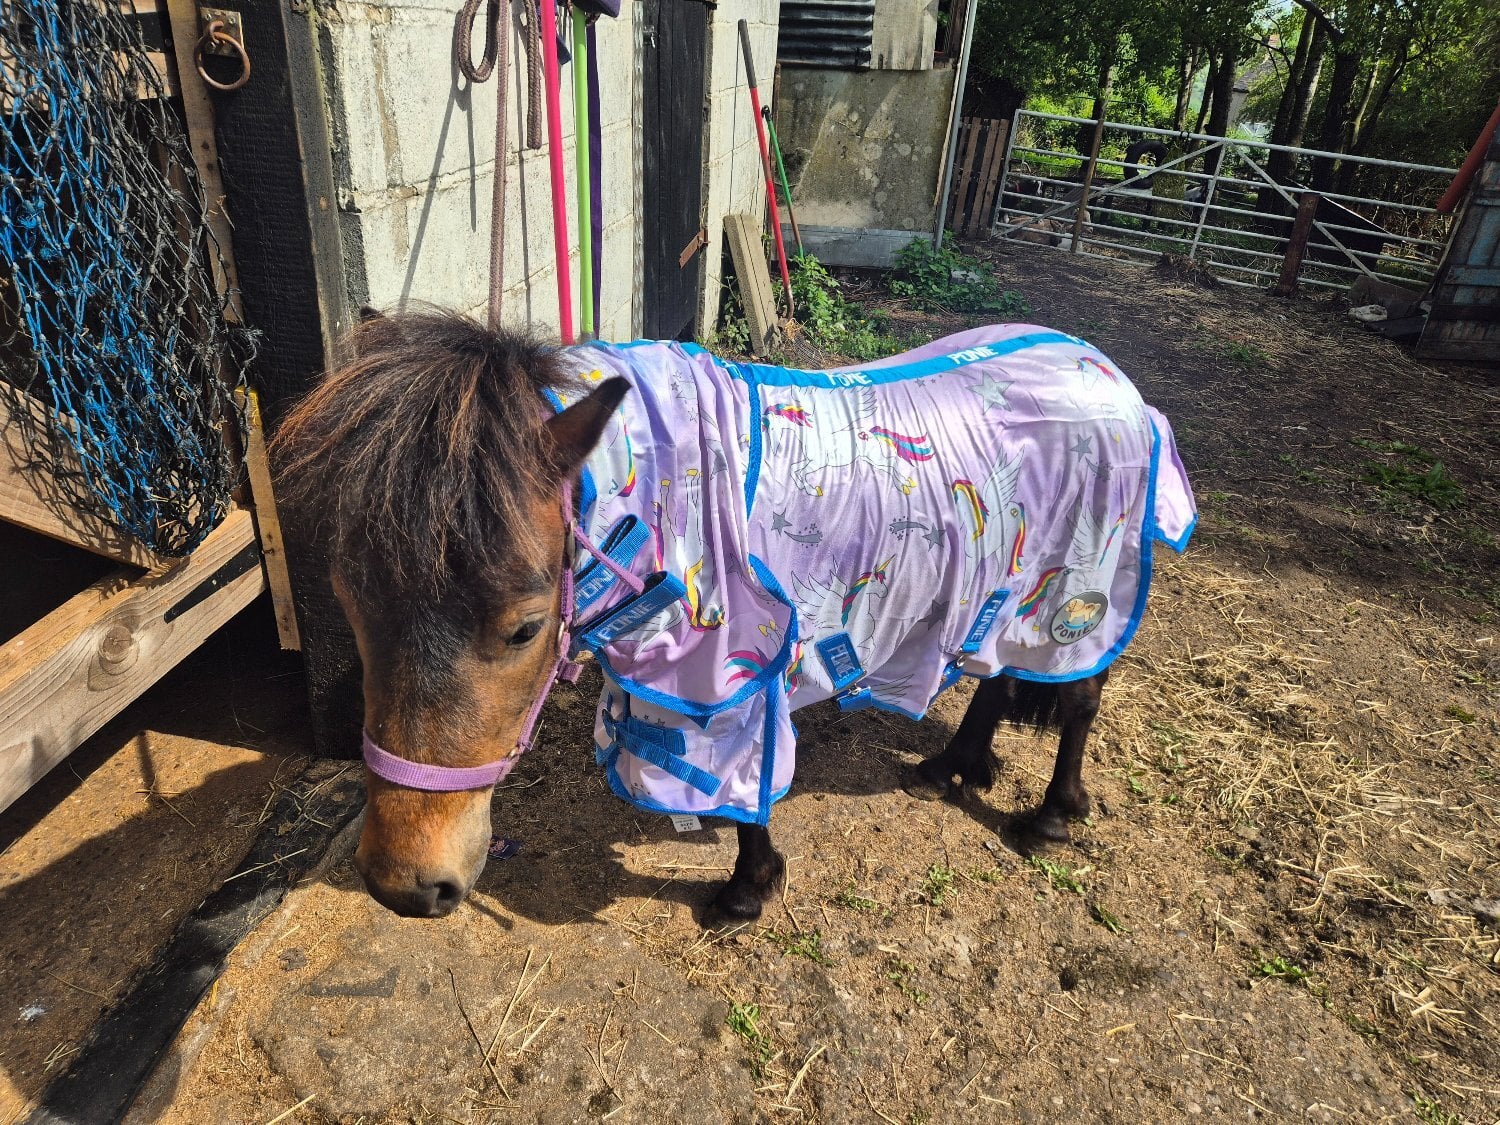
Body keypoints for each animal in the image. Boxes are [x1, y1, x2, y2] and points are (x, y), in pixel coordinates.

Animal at [272, 310, 1195, 920]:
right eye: (350, 604)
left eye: (526, 627)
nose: (405, 884)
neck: (658, 494)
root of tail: (1111, 376)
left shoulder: (736, 681)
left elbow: (748, 790)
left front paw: (746, 891)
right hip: (1007, 586)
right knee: (997, 673)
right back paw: (954, 765)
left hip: (1083, 589)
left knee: (1077, 696)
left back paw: (1050, 816)